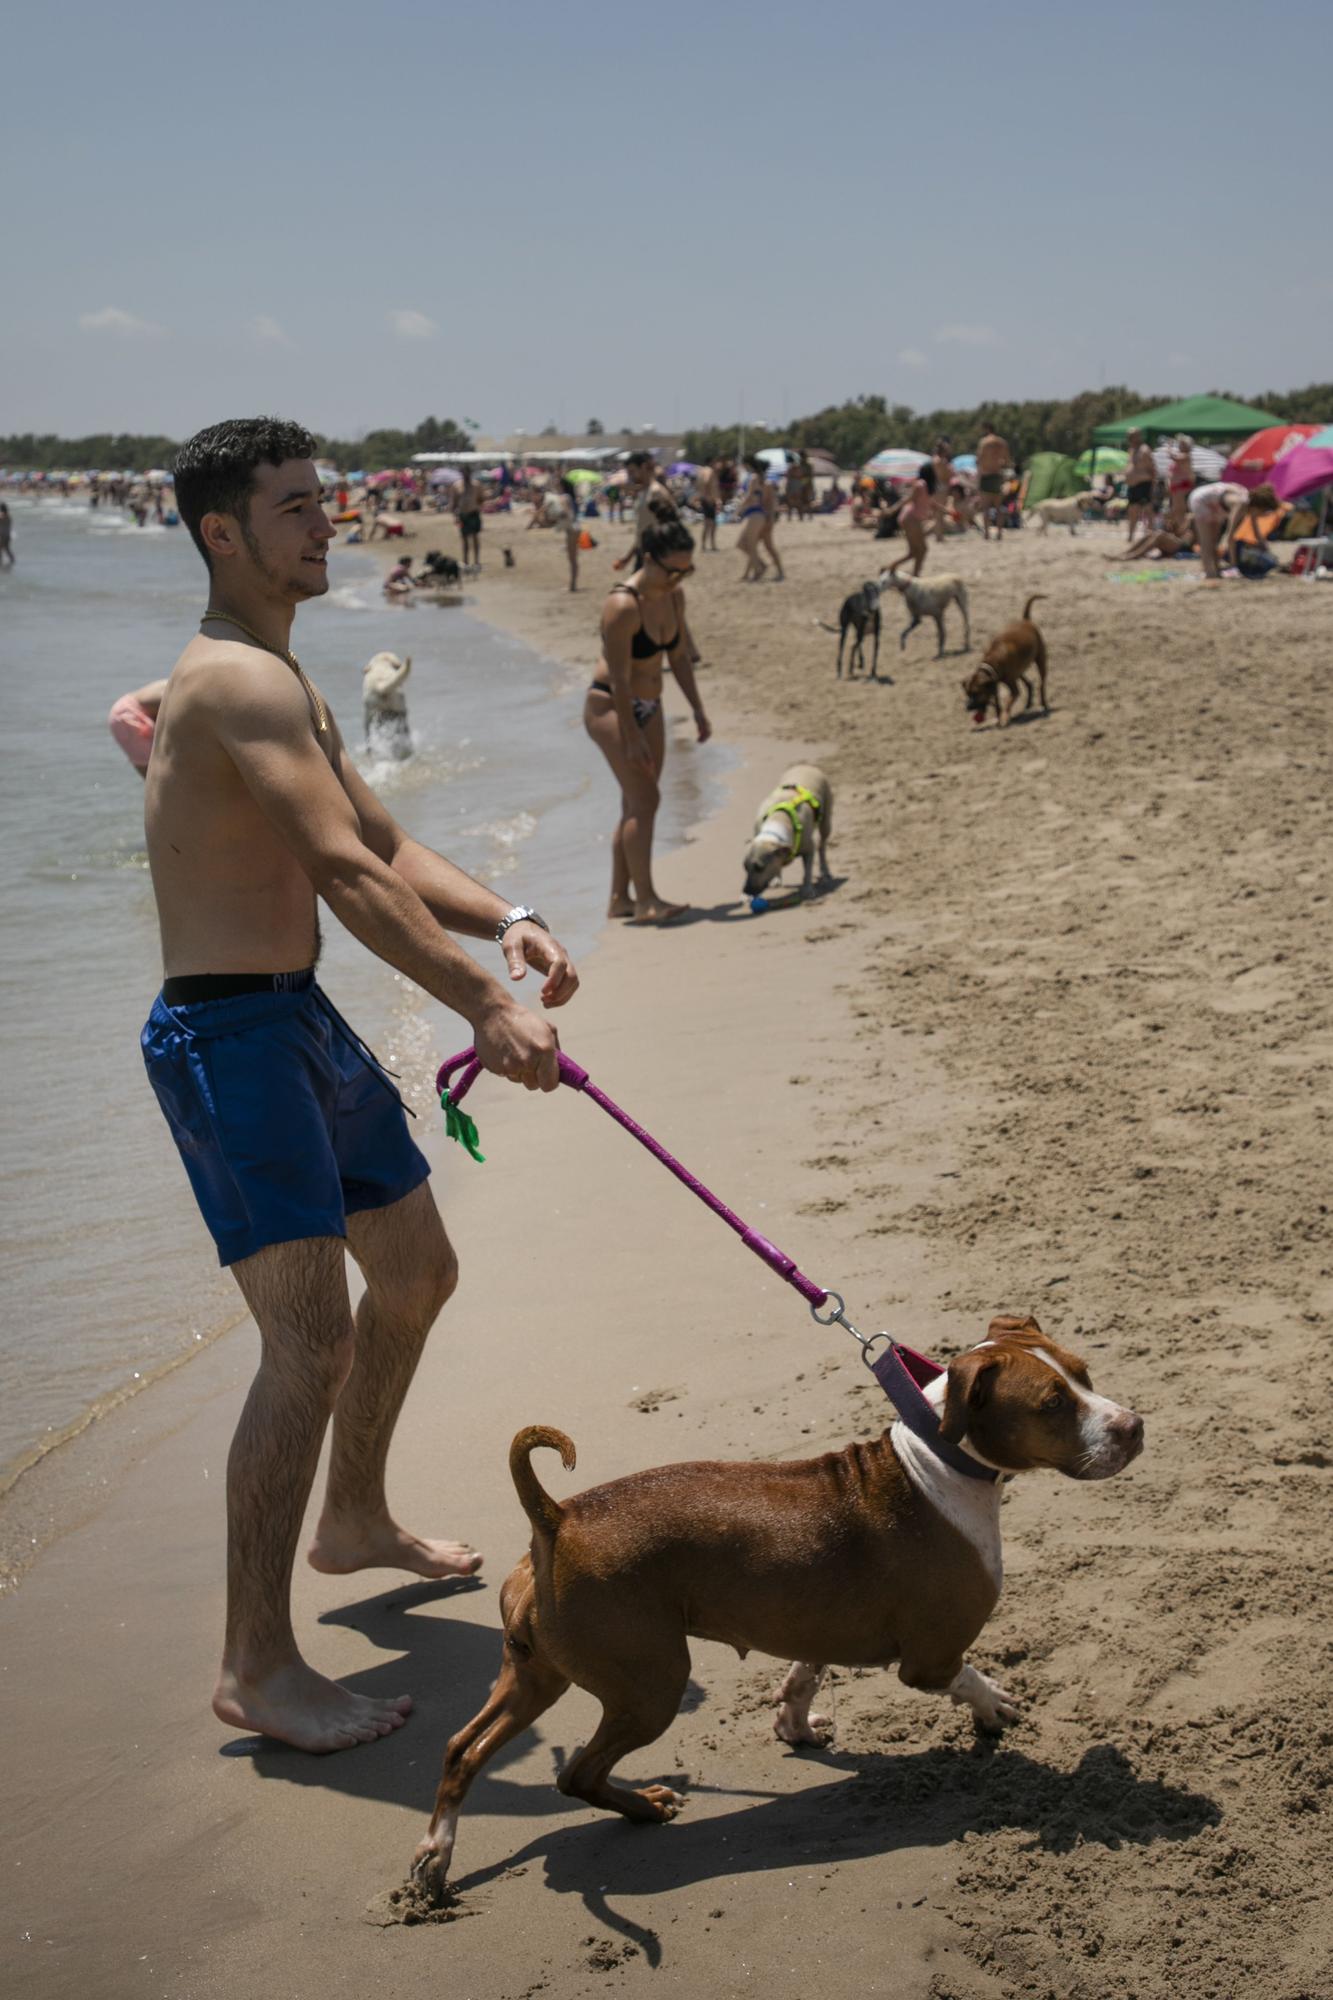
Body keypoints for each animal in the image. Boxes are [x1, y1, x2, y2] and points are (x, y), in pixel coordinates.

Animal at [410, 1304, 1136, 1896]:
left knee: (463, 1748)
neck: (937, 1456)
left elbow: (804, 1671)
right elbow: (970, 1679)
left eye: (1084, 1375)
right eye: (1051, 1404)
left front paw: (793, 1722)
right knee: (576, 1776)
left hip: (534, 1674)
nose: (1134, 1426)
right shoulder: (930, 1658)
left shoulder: (817, 1622)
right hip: (650, 1685)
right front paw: (994, 1711)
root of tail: (556, 1520)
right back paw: (643, 1808)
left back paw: (436, 1856)